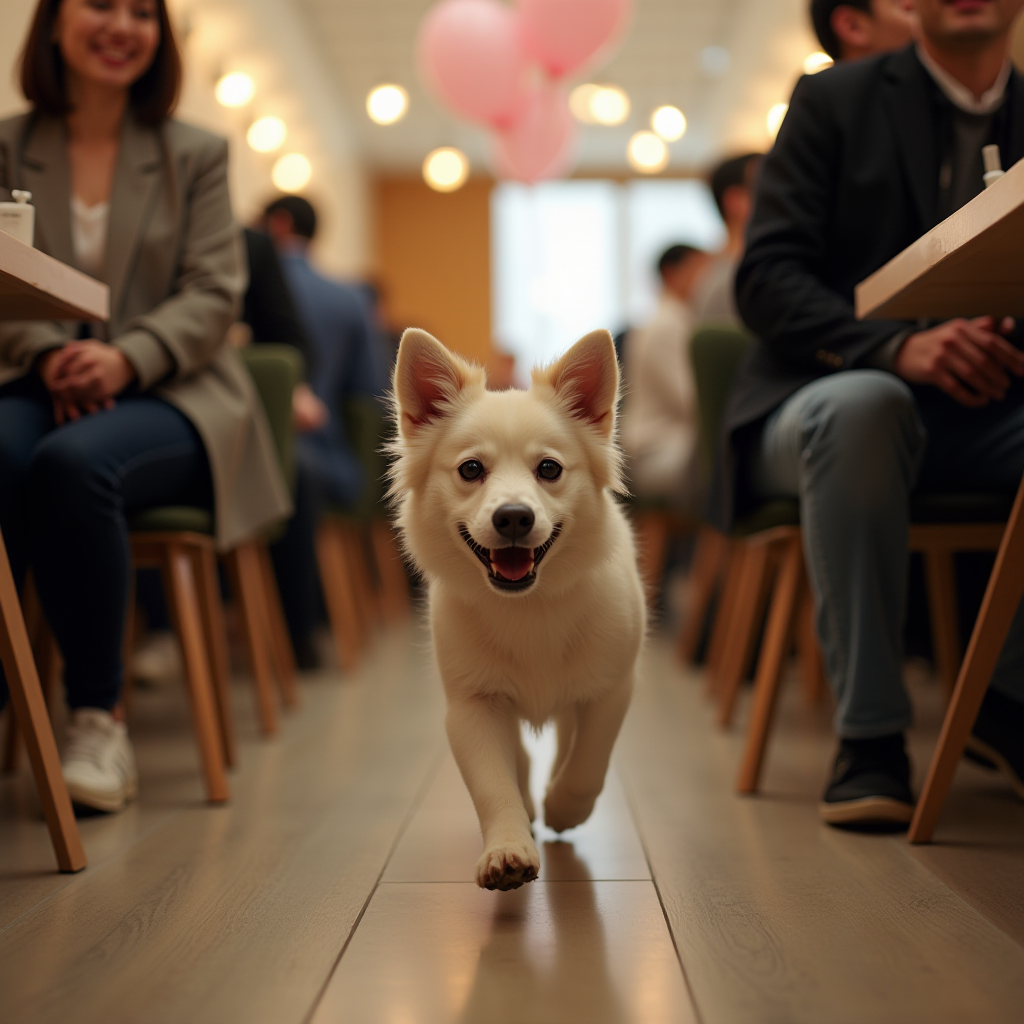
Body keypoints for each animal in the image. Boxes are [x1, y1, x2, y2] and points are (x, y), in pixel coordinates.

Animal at [387, 325, 643, 888]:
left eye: (549, 468)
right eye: (470, 470)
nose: (512, 517)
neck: (529, 604)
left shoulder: (611, 690)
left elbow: (588, 761)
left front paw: (564, 807)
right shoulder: (473, 707)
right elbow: (494, 784)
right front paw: (509, 848)